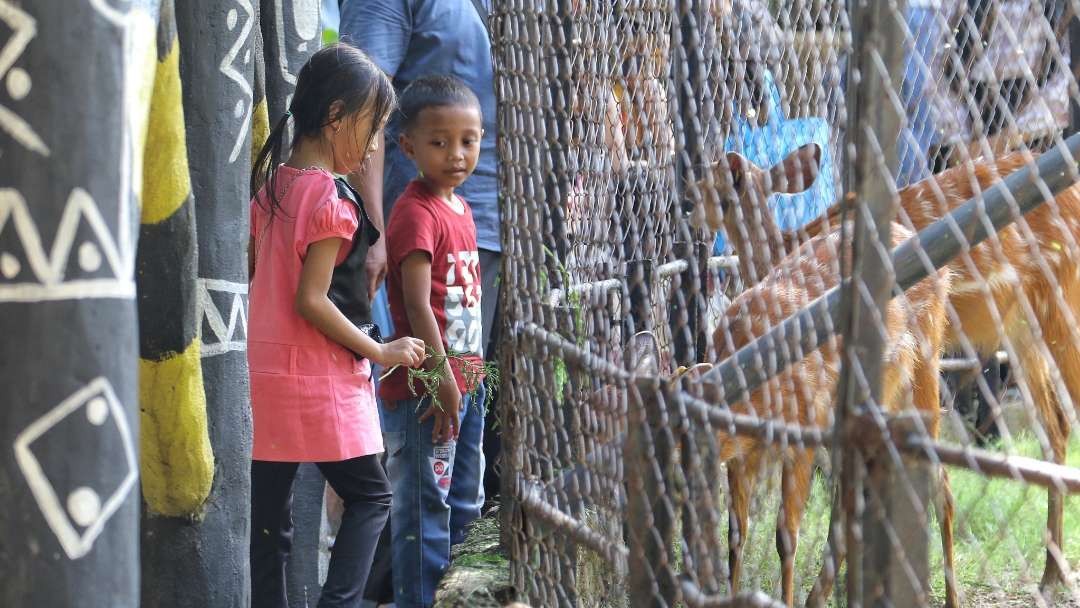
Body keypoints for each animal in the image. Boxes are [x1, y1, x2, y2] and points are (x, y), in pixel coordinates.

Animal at [695, 144, 1080, 600]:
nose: (691, 213)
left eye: (712, 186)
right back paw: (1049, 576)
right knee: (1054, 428)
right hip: (1021, 324)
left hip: (1058, 300)